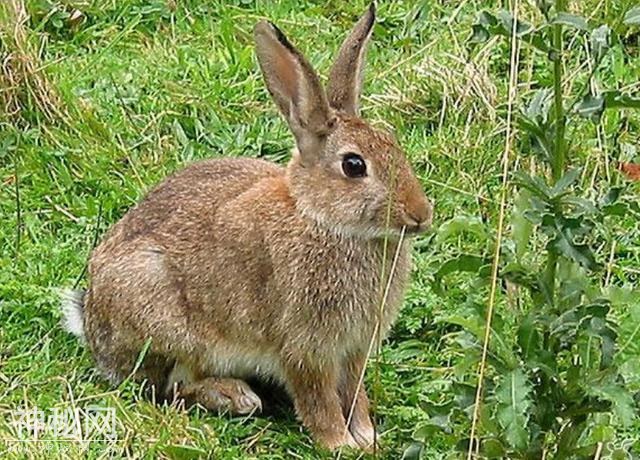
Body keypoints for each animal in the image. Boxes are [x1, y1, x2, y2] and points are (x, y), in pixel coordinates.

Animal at [60, 3, 432, 451]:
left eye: (394, 144)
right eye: (354, 165)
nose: (421, 214)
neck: (322, 219)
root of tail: (91, 324)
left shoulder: (354, 349)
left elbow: (353, 394)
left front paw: (366, 437)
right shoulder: (305, 348)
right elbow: (319, 400)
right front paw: (338, 444)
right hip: (162, 317)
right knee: (167, 387)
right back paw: (234, 397)